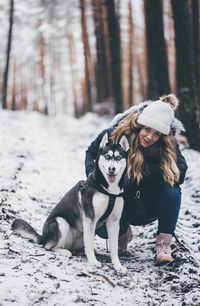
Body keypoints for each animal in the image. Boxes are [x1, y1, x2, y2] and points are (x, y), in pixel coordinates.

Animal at [11, 133, 130, 272]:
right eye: (107, 156)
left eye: (118, 157)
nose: (112, 169)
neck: (109, 190)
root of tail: (43, 237)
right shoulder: (90, 218)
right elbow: (89, 245)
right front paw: (93, 262)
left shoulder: (114, 222)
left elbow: (114, 248)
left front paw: (118, 265)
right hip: (60, 222)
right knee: (49, 246)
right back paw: (65, 252)